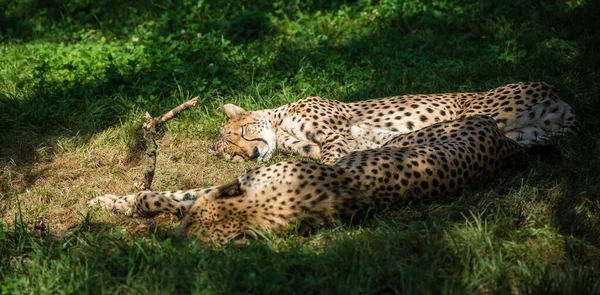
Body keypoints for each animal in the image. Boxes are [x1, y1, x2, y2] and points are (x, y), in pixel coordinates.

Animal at [89, 115, 524, 245]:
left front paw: (123, 203)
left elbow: (171, 196)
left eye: (196, 235)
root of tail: (502, 141)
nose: (176, 240)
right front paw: (108, 203)